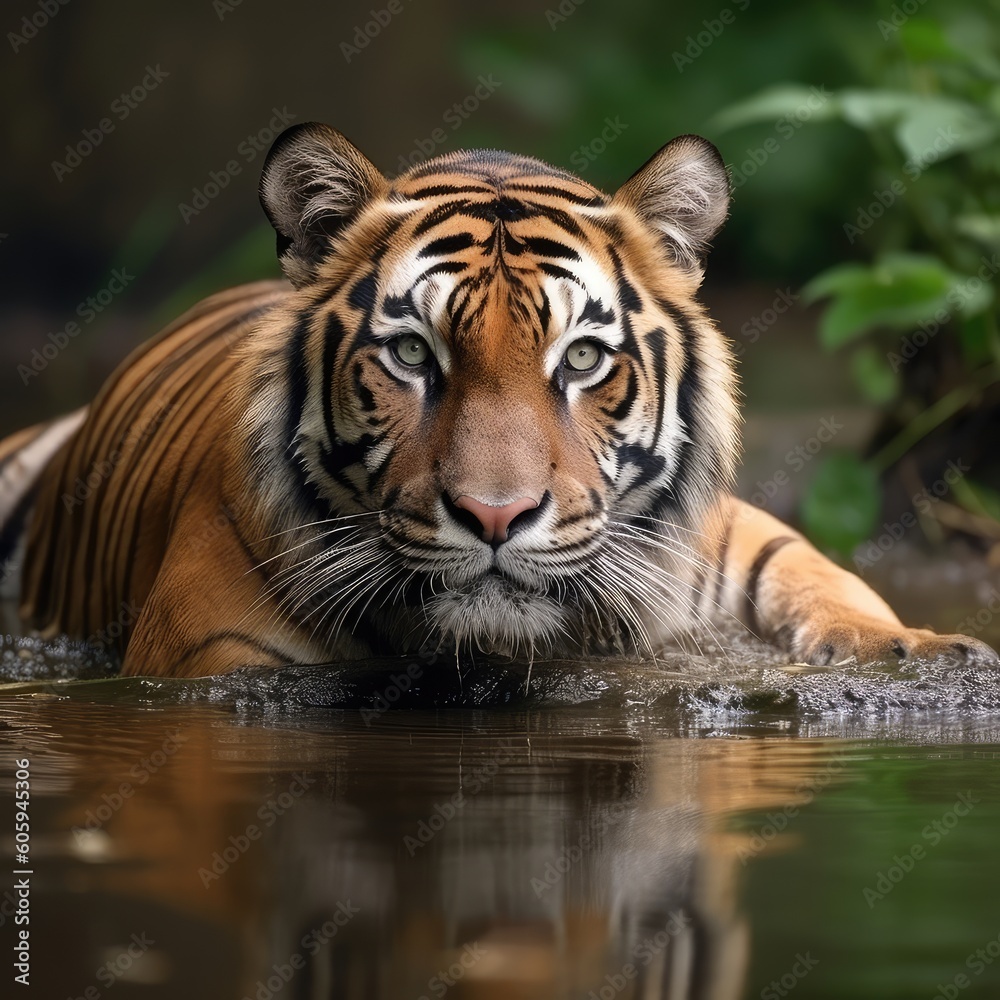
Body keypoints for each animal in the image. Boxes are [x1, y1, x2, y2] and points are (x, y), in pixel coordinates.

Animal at [0, 122, 994, 677]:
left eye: (582, 358)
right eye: (411, 352)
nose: (494, 516)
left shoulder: (731, 536)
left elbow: (831, 579)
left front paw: (915, 647)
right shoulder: (213, 654)